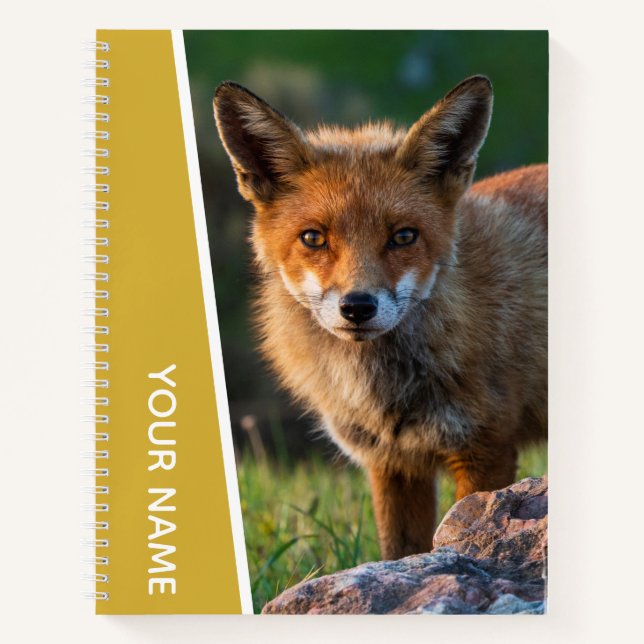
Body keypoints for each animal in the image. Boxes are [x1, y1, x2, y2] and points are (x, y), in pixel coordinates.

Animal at [213, 75, 547, 560]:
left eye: (403, 236)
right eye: (313, 238)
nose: (357, 306)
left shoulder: (485, 448)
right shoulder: (391, 462)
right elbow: (400, 552)